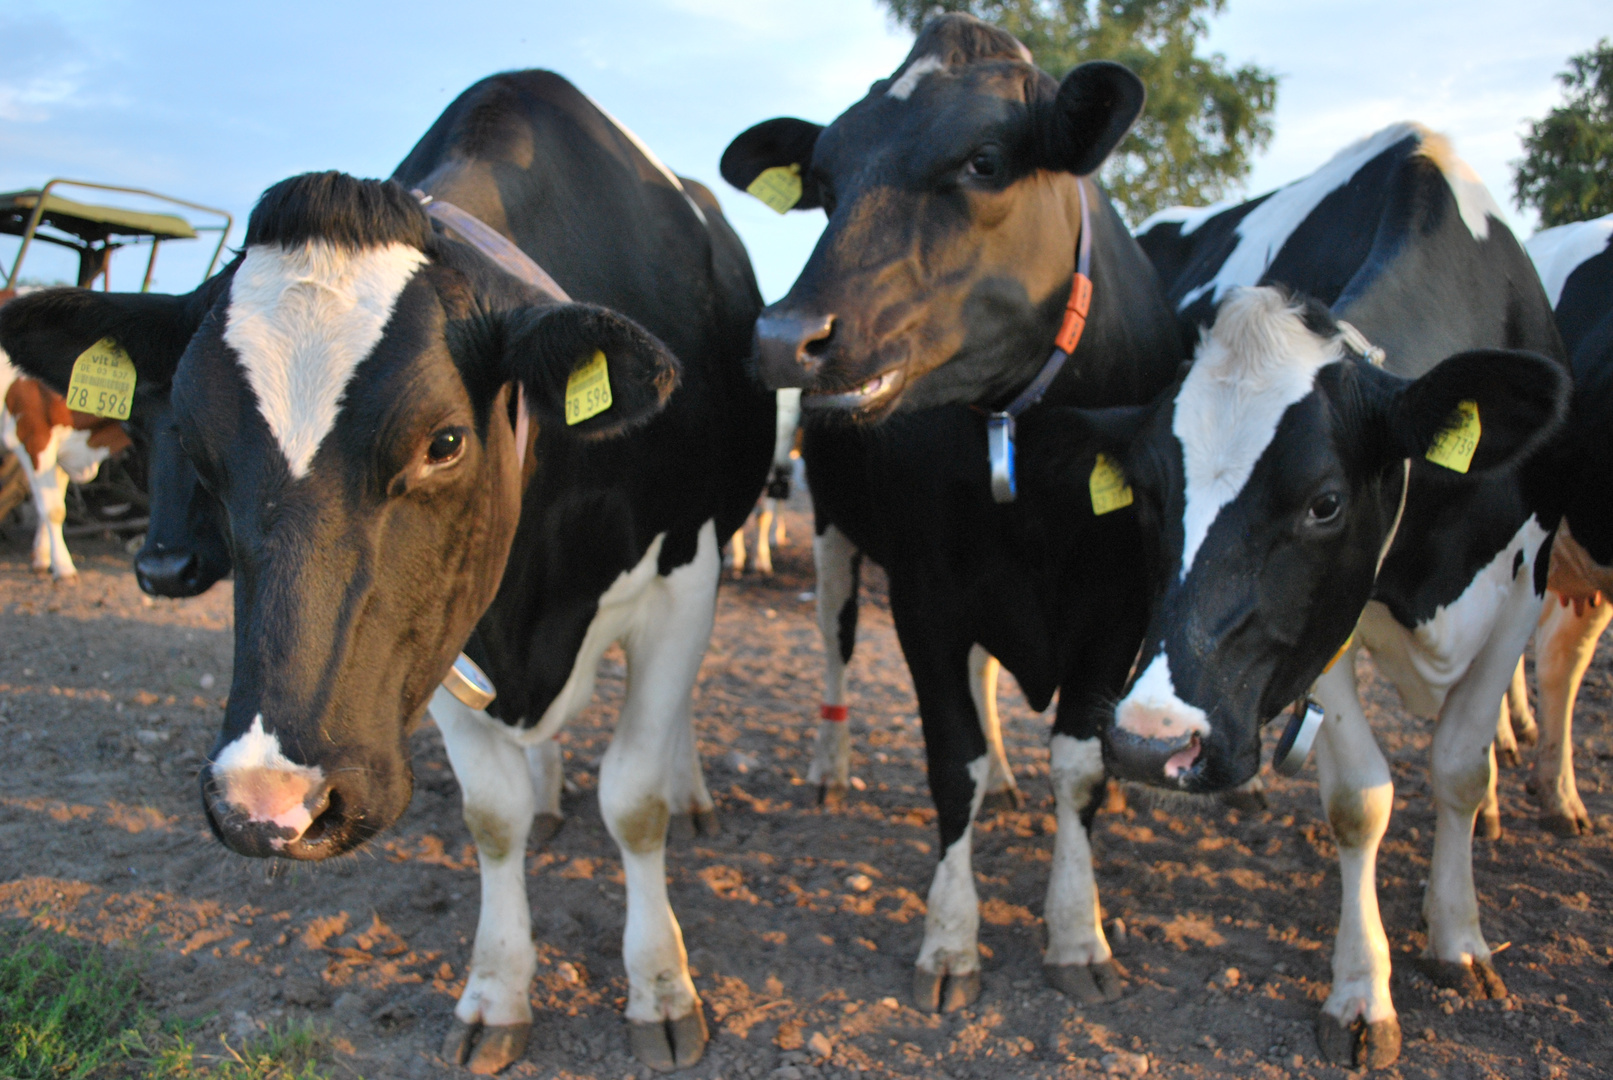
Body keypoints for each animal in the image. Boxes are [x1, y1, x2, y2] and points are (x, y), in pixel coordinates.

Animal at [0, 69, 771, 1076]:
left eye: (443, 442)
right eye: (195, 448)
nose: (265, 804)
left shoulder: (684, 576)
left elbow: (633, 800)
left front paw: (660, 986)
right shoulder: (433, 635)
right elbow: (492, 815)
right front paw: (495, 991)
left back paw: (690, 794)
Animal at [722, 14, 1187, 1018]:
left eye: (982, 160)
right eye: (822, 182)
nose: (784, 337)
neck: (1028, 458)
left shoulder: (1116, 604)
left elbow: (1078, 765)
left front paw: (1076, 933)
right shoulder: (926, 596)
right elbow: (950, 759)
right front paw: (950, 942)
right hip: (833, 533)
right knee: (833, 639)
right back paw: (830, 765)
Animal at [1025, 120, 1567, 1063]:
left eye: (1324, 502)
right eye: (1151, 494)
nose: (1148, 744)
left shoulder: (1523, 586)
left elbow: (1460, 768)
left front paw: (1458, 940)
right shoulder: (1319, 635)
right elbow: (1359, 800)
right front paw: (1362, 993)